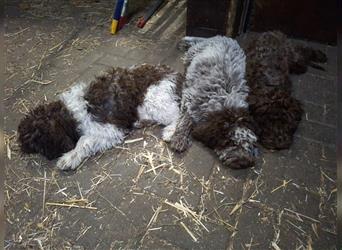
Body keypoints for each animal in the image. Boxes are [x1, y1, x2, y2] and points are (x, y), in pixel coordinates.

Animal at [18, 63, 184, 171]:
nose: (21, 148)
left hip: (154, 100)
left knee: (179, 114)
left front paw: (69, 158)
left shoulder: (109, 129)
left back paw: (170, 132)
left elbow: (84, 141)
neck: (69, 114)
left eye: (33, 142)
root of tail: (178, 76)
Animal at [170, 36, 258, 169]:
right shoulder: (190, 99)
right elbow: (185, 121)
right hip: (192, 54)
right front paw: (179, 139)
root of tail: (219, 37)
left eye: (250, 144)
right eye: (231, 142)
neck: (224, 101)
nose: (245, 162)